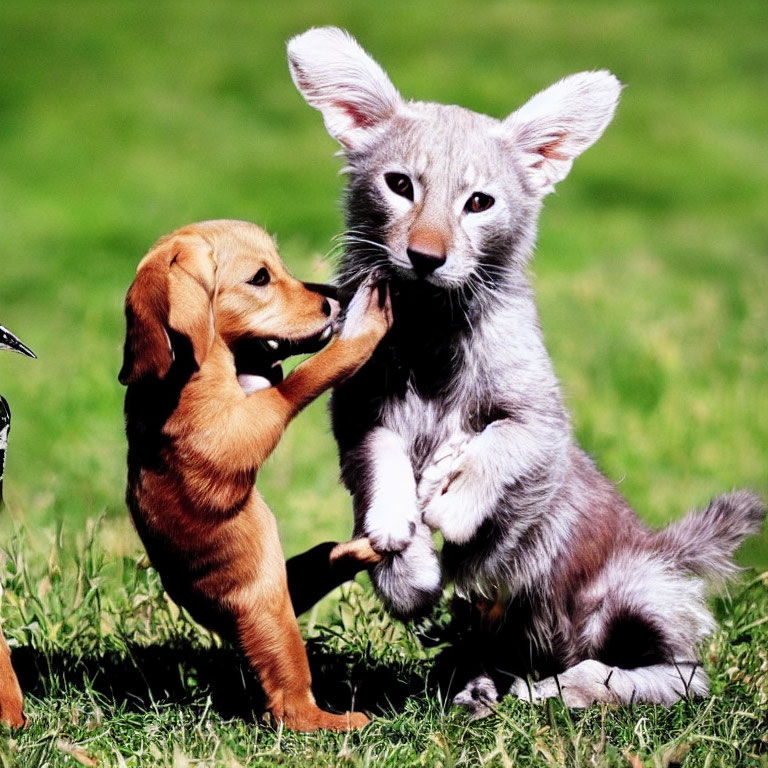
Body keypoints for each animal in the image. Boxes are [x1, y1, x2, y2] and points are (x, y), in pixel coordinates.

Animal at [122, 219, 392, 728]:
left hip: (286, 585)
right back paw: (337, 723)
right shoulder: (240, 430)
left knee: (322, 561)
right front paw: (361, 334)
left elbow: (277, 376)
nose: (336, 296)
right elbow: (299, 382)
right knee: (290, 708)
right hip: (270, 610)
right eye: (261, 278)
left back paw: (354, 550)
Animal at [286, 27, 760, 712]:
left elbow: (495, 448)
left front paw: (451, 504)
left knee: (675, 673)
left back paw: (558, 690)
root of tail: (665, 550)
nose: (425, 257)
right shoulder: (357, 411)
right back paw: (485, 684)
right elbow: (381, 469)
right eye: (400, 185)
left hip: (629, 598)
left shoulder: (543, 422)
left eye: (479, 202)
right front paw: (404, 555)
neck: (432, 331)